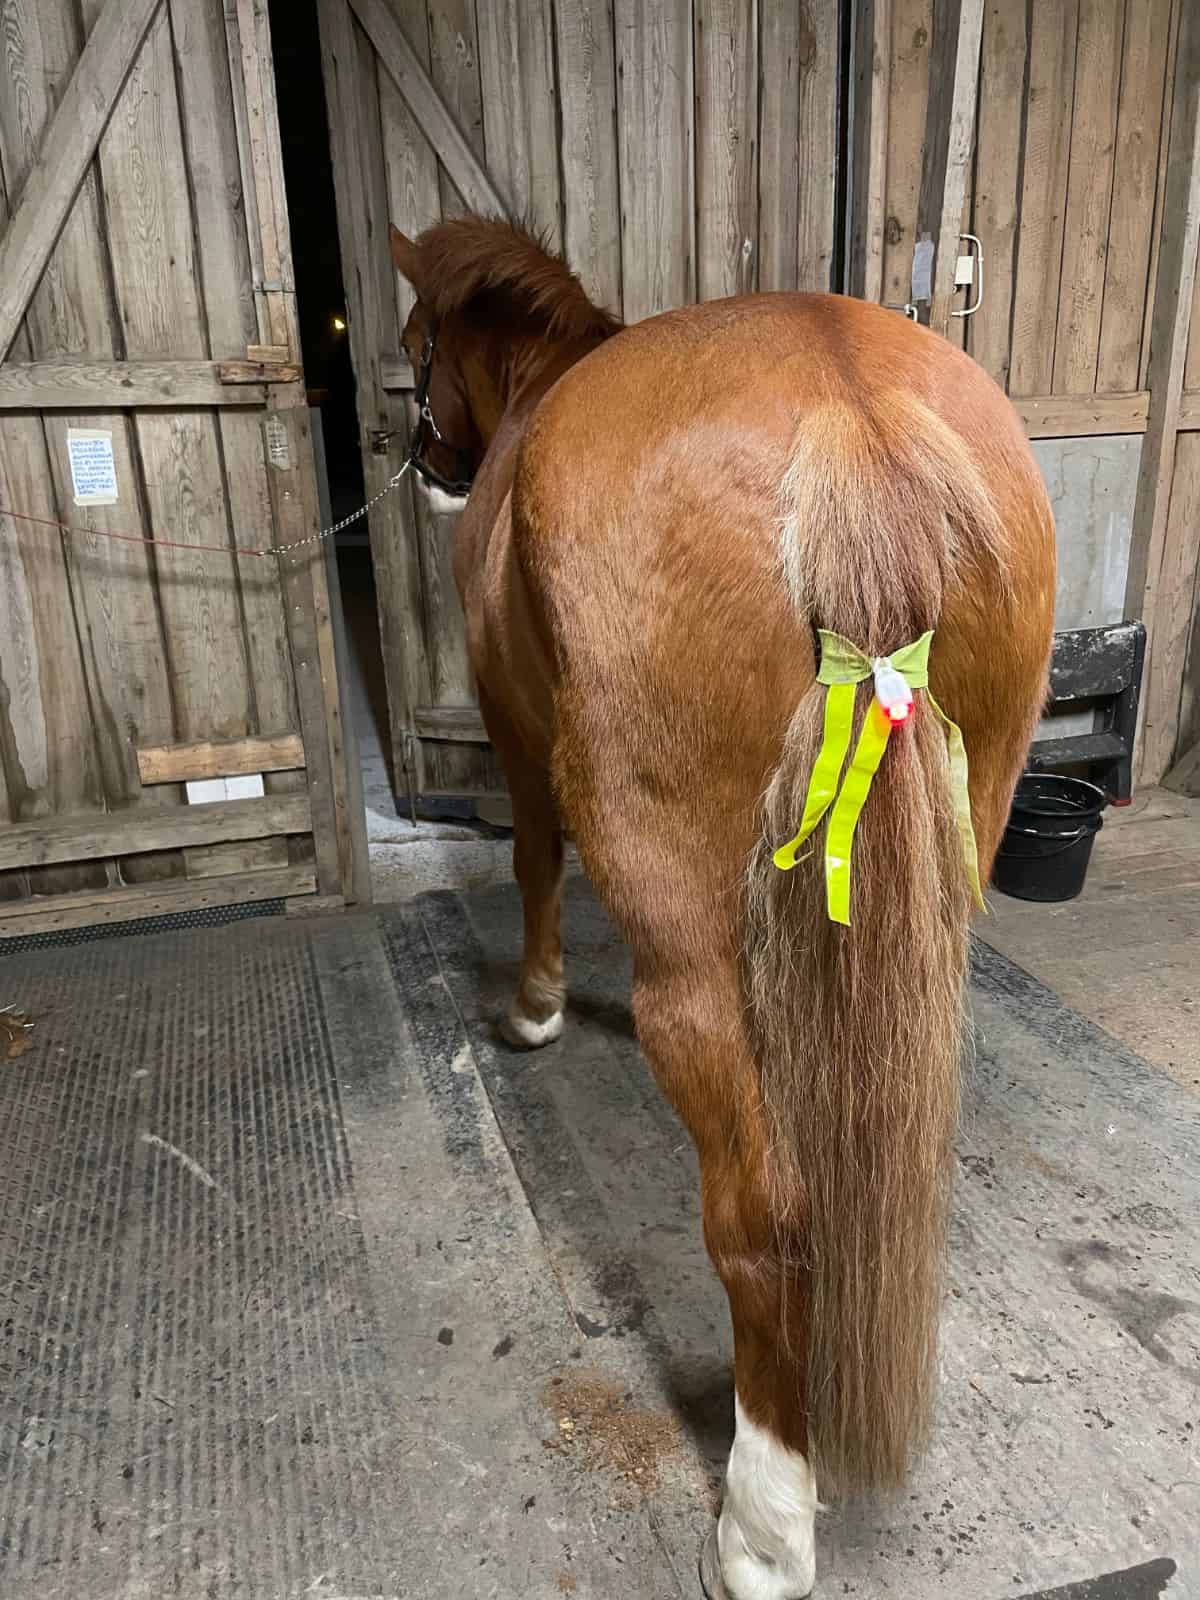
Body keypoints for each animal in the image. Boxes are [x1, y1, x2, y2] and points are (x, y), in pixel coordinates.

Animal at [390, 216, 1056, 1600]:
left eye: (418, 341)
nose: (421, 458)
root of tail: (850, 417)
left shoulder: (517, 737)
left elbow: (532, 863)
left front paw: (533, 1009)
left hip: (694, 969)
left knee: (767, 1223)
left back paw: (763, 1522)